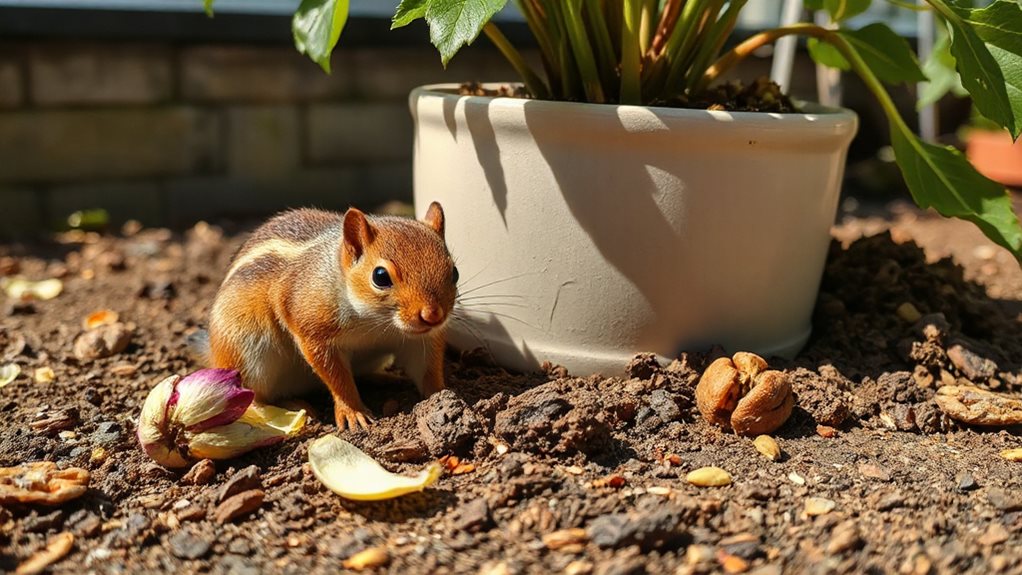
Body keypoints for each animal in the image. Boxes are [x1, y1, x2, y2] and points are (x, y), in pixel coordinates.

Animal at [202, 203, 458, 430]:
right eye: (380, 276)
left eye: (454, 272)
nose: (433, 315)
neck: (375, 324)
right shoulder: (312, 330)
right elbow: (338, 378)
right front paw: (353, 412)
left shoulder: (421, 340)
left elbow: (427, 370)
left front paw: (443, 396)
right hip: (246, 354)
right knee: (254, 397)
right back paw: (291, 408)